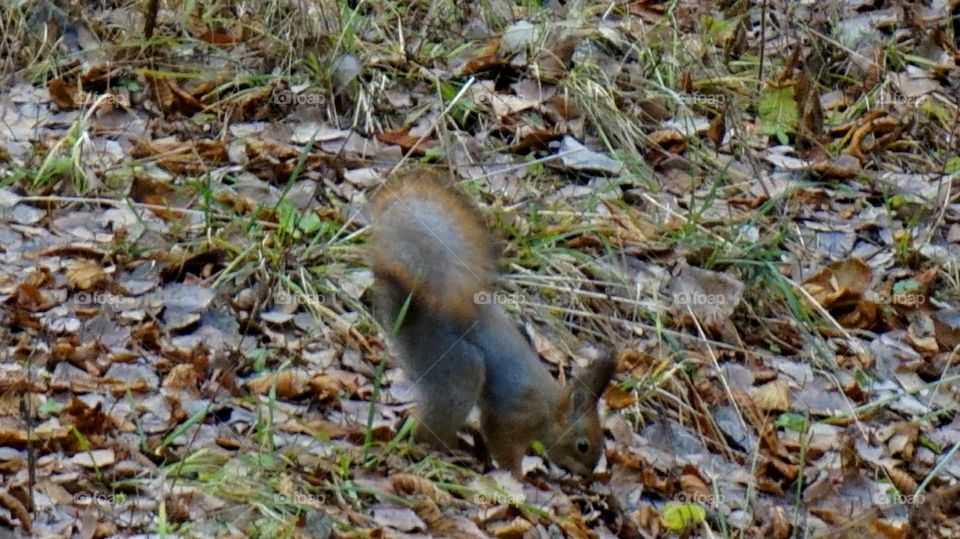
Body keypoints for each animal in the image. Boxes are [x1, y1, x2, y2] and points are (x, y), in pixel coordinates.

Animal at [367, 168, 615, 477]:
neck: (549, 408)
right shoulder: (512, 416)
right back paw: (450, 449)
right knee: (429, 431)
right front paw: (517, 478)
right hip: (457, 374)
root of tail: (414, 316)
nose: (589, 475)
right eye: (583, 445)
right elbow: (504, 445)